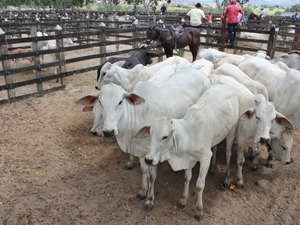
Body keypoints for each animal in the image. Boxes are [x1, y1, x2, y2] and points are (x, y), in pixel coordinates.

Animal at [137, 84, 240, 220]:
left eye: (165, 137)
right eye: (150, 133)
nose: (148, 159)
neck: (189, 134)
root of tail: (227, 86)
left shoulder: (205, 157)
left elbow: (199, 185)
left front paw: (199, 211)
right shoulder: (188, 160)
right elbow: (187, 178)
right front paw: (183, 199)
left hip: (231, 132)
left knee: (228, 153)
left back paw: (227, 178)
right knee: (216, 147)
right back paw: (213, 167)